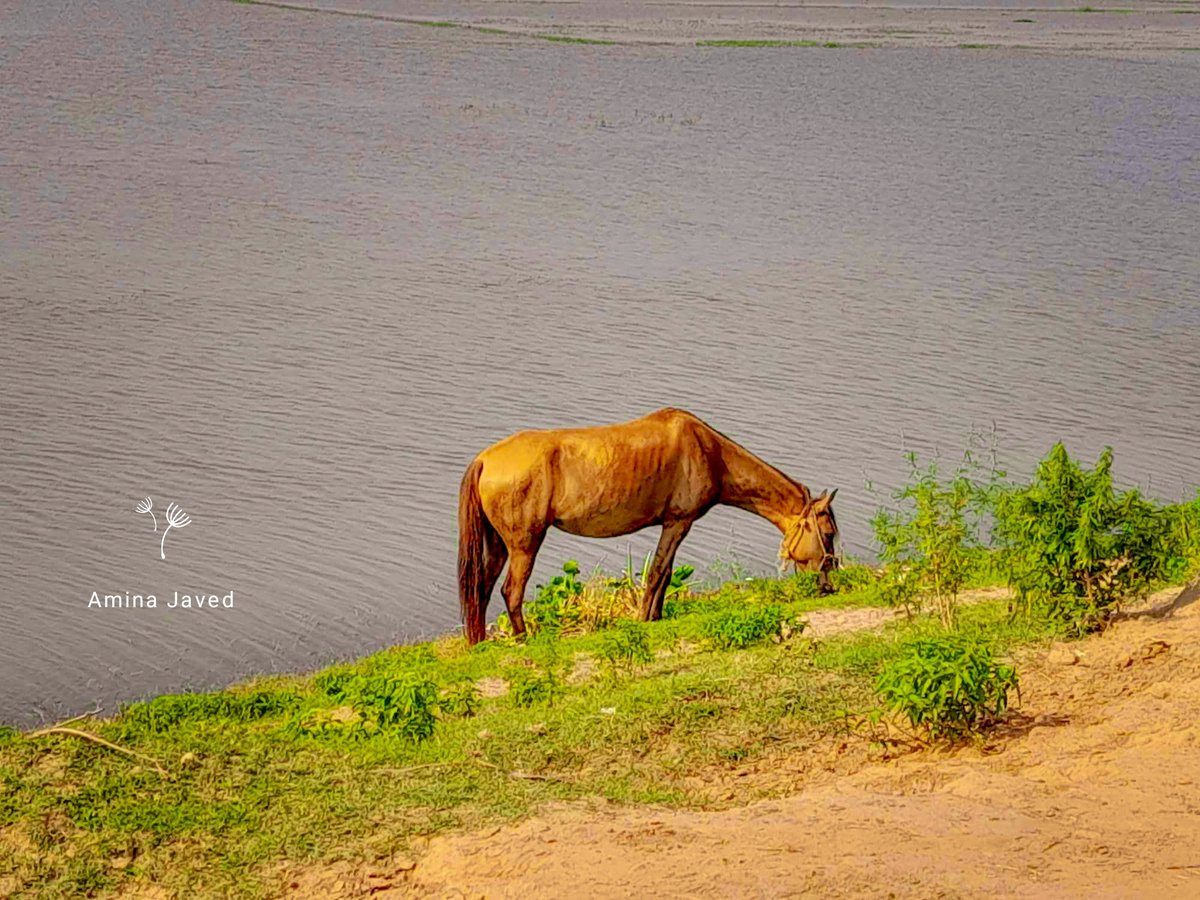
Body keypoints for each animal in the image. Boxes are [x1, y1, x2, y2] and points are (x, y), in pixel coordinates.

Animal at [457, 407, 839, 644]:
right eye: (829, 534)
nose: (829, 584)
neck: (708, 451)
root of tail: (485, 460)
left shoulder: (675, 524)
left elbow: (665, 573)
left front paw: (655, 616)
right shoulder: (678, 522)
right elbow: (657, 572)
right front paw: (643, 617)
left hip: (498, 545)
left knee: (482, 589)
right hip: (524, 544)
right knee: (511, 591)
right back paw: (524, 639)